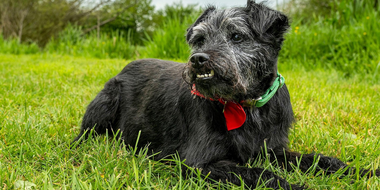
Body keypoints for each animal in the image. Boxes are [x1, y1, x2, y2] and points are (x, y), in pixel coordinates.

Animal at [72, 1, 378, 189]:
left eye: (237, 36)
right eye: (199, 39)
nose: (198, 59)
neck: (248, 106)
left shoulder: (274, 150)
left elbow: (322, 160)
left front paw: (363, 173)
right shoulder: (199, 164)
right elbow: (259, 173)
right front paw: (294, 185)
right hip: (105, 103)